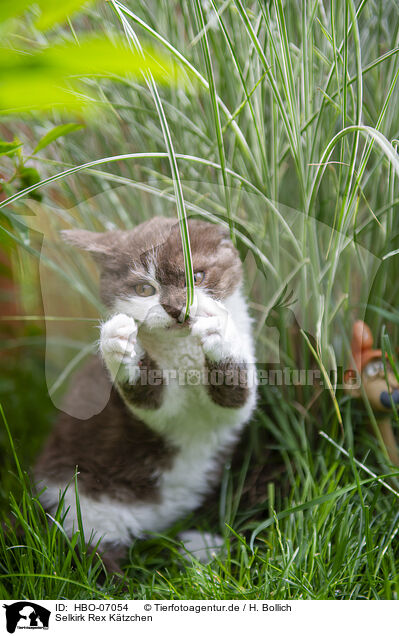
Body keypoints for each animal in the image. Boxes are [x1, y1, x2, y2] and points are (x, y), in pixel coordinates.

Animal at [36, 216, 258, 568]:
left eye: (197, 277)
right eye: (144, 289)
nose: (175, 307)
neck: (182, 352)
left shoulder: (230, 407)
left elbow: (237, 398)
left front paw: (219, 332)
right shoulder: (159, 411)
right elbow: (152, 401)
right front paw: (118, 343)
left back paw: (201, 547)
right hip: (76, 503)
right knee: (94, 559)